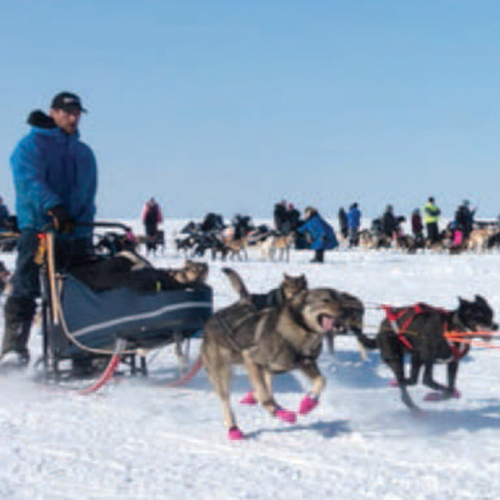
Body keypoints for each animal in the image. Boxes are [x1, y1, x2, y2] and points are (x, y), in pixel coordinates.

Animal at [201, 271, 348, 439]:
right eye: (325, 300)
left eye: (340, 300)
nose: (345, 312)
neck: (299, 330)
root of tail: (211, 319)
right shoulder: (250, 358)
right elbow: (264, 396)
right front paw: (274, 407)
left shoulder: (305, 362)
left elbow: (321, 380)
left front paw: (308, 403)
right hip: (222, 373)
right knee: (228, 400)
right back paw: (235, 428)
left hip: (267, 368)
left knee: (266, 385)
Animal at [352, 295, 498, 411]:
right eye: (479, 315)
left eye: (491, 313)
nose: (496, 326)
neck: (451, 330)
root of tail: (381, 328)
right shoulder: (424, 358)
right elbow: (428, 381)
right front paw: (436, 393)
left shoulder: (452, 363)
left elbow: (450, 389)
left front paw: (443, 395)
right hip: (399, 358)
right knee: (406, 384)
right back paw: (413, 406)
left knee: (409, 381)